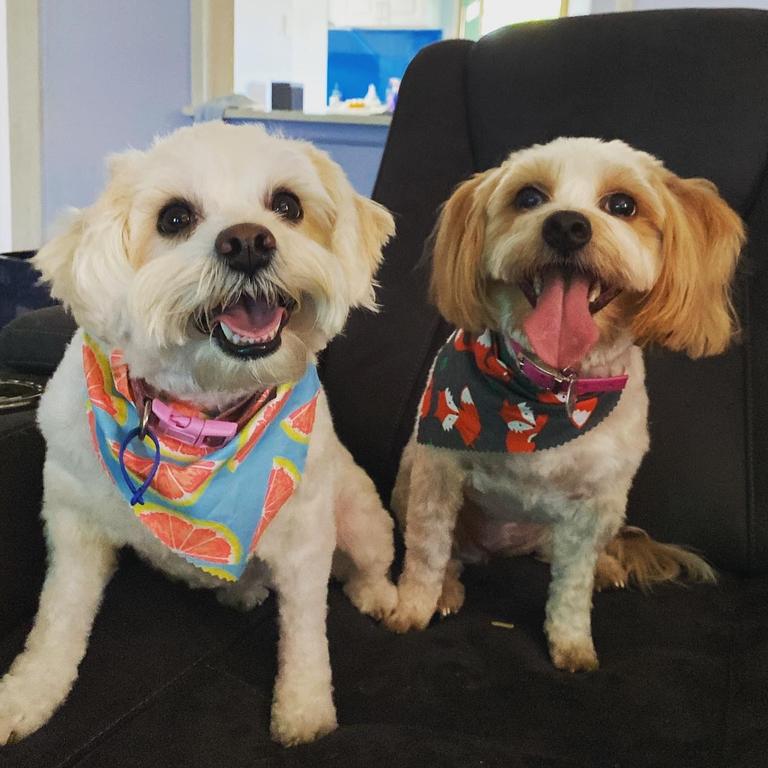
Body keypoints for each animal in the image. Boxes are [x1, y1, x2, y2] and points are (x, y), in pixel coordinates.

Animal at [0, 123, 400, 748]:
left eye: (288, 205)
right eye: (174, 217)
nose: (249, 242)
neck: (199, 415)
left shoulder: (307, 537)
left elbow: (306, 633)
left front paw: (305, 711)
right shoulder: (71, 521)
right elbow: (58, 618)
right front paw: (29, 694)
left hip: (358, 514)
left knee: (369, 562)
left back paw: (379, 596)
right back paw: (243, 589)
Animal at [384, 138, 744, 672]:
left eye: (622, 205)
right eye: (529, 197)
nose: (567, 225)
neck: (551, 389)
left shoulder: (596, 502)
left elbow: (571, 586)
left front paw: (572, 642)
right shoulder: (438, 470)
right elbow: (427, 551)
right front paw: (413, 607)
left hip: (601, 517)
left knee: (571, 556)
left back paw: (606, 568)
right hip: (409, 480)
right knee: (447, 552)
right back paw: (449, 587)